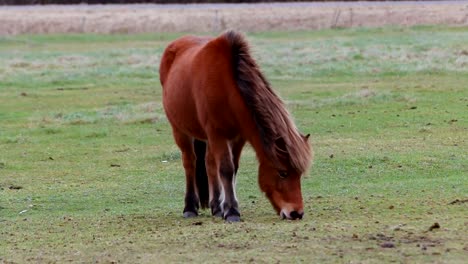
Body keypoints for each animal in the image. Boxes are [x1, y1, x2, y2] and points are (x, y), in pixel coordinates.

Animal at [159, 30, 312, 221]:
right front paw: (232, 211)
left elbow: (233, 169)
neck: (226, 86)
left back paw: (216, 207)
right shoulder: (217, 133)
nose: (296, 213)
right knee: (190, 162)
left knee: (210, 164)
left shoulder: (238, 137)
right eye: (282, 172)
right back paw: (190, 208)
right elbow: (226, 169)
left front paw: (225, 207)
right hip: (180, 130)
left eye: (299, 174)